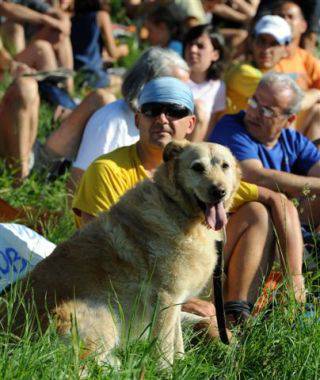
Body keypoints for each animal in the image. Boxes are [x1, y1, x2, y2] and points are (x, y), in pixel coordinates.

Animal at [0, 140, 240, 368]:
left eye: (225, 166)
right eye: (197, 167)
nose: (219, 191)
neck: (176, 207)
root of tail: (10, 336)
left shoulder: (175, 302)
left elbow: (177, 342)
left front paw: (181, 365)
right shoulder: (165, 299)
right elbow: (164, 349)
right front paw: (166, 372)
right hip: (105, 319)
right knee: (78, 368)